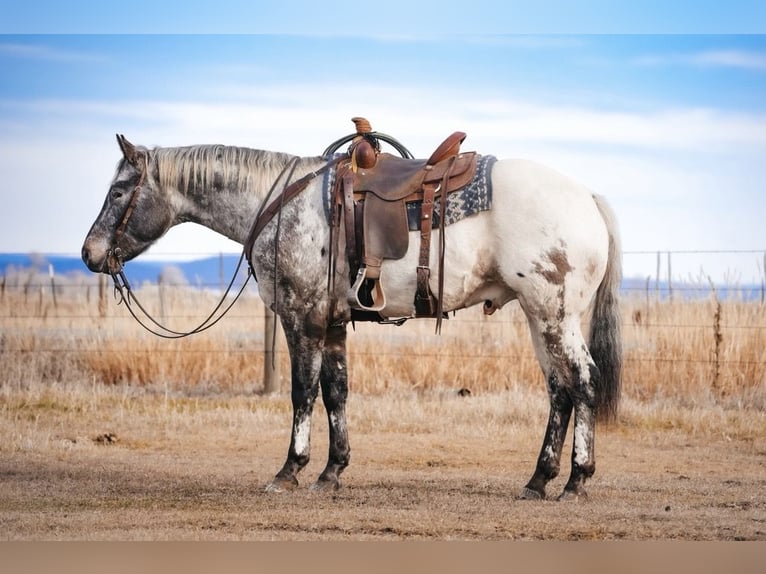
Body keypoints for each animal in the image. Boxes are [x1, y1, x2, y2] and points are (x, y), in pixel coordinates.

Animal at [82, 132, 622, 501]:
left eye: (117, 192)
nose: (89, 253)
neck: (281, 204)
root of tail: (587, 197)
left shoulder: (301, 317)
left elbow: (303, 392)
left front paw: (290, 470)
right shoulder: (334, 323)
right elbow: (336, 391)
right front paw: (332, 471)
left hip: (554, 315)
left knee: (583, 382)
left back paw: (576, 480)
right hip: (540, 319)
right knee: (560, 390)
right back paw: (539, 479)